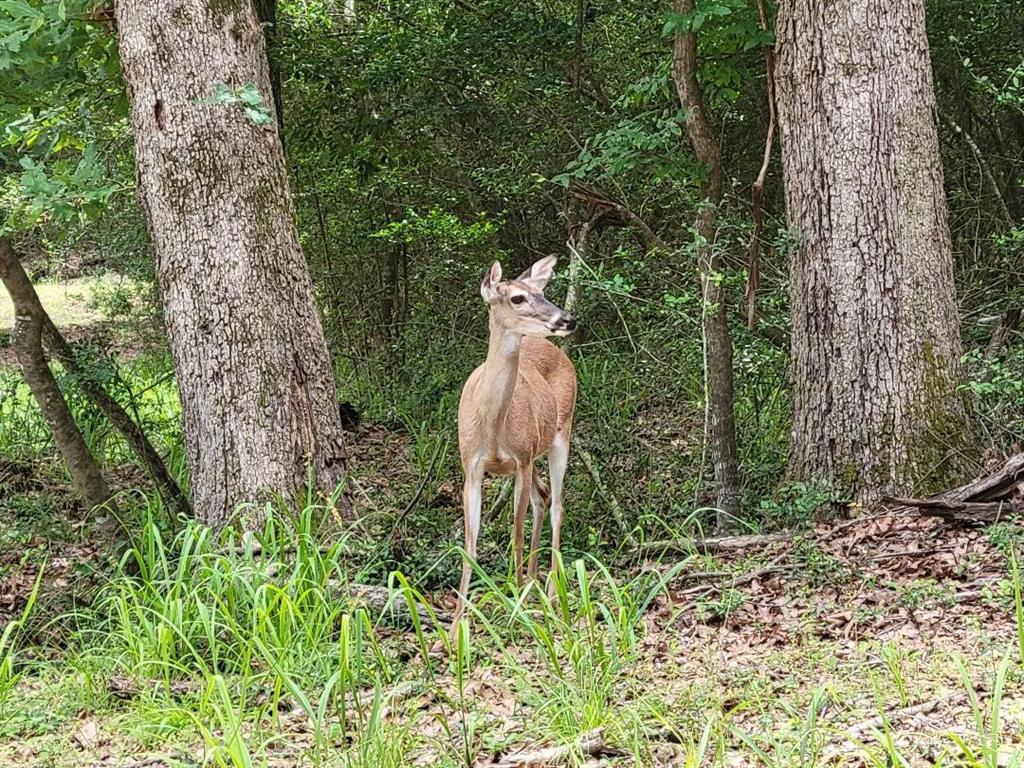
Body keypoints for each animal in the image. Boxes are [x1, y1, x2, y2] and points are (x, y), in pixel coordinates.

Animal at [452, 256, 581, 638]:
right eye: (518, 298)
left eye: (543, 293)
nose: (566, 319)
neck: (493, 428)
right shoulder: (472, 467)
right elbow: (470, 542)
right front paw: (456, 626)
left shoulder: (521, 460)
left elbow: (516, 533)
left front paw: (516, 606)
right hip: (533, 453)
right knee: (543, 498)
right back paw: (534, 583)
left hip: (560, 434)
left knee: (557, 505)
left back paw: (550, 591)